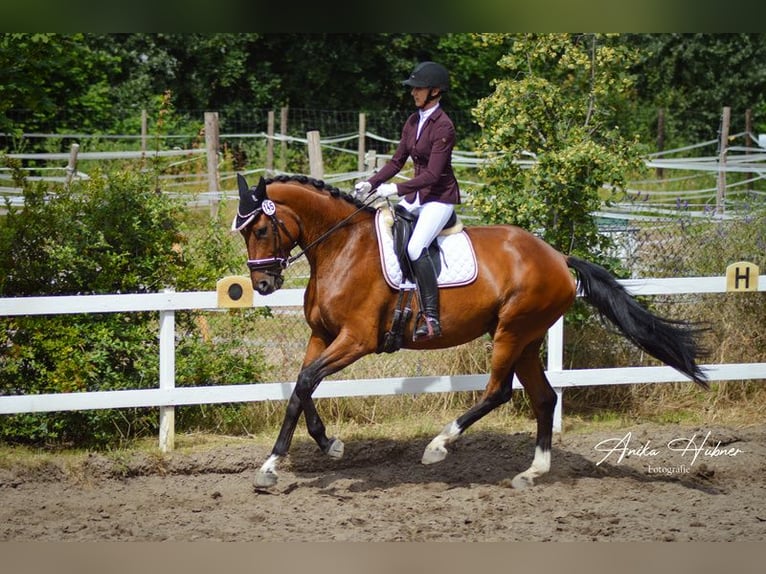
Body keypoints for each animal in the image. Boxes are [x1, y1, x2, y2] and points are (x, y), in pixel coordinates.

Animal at [232, 174, 708, 490]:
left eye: (262, 229)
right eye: (244, 233)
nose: (264, 285)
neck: (342, 246)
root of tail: (557, 256)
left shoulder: (357, 341)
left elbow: (307, 382)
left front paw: (272, 467)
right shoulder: (322, 336)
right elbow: (302, 386)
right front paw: (322, 445)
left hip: (511, 332)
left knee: (499, 391)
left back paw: (438, 446)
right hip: (526, 338)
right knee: (543, 398)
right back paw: (532, 472)